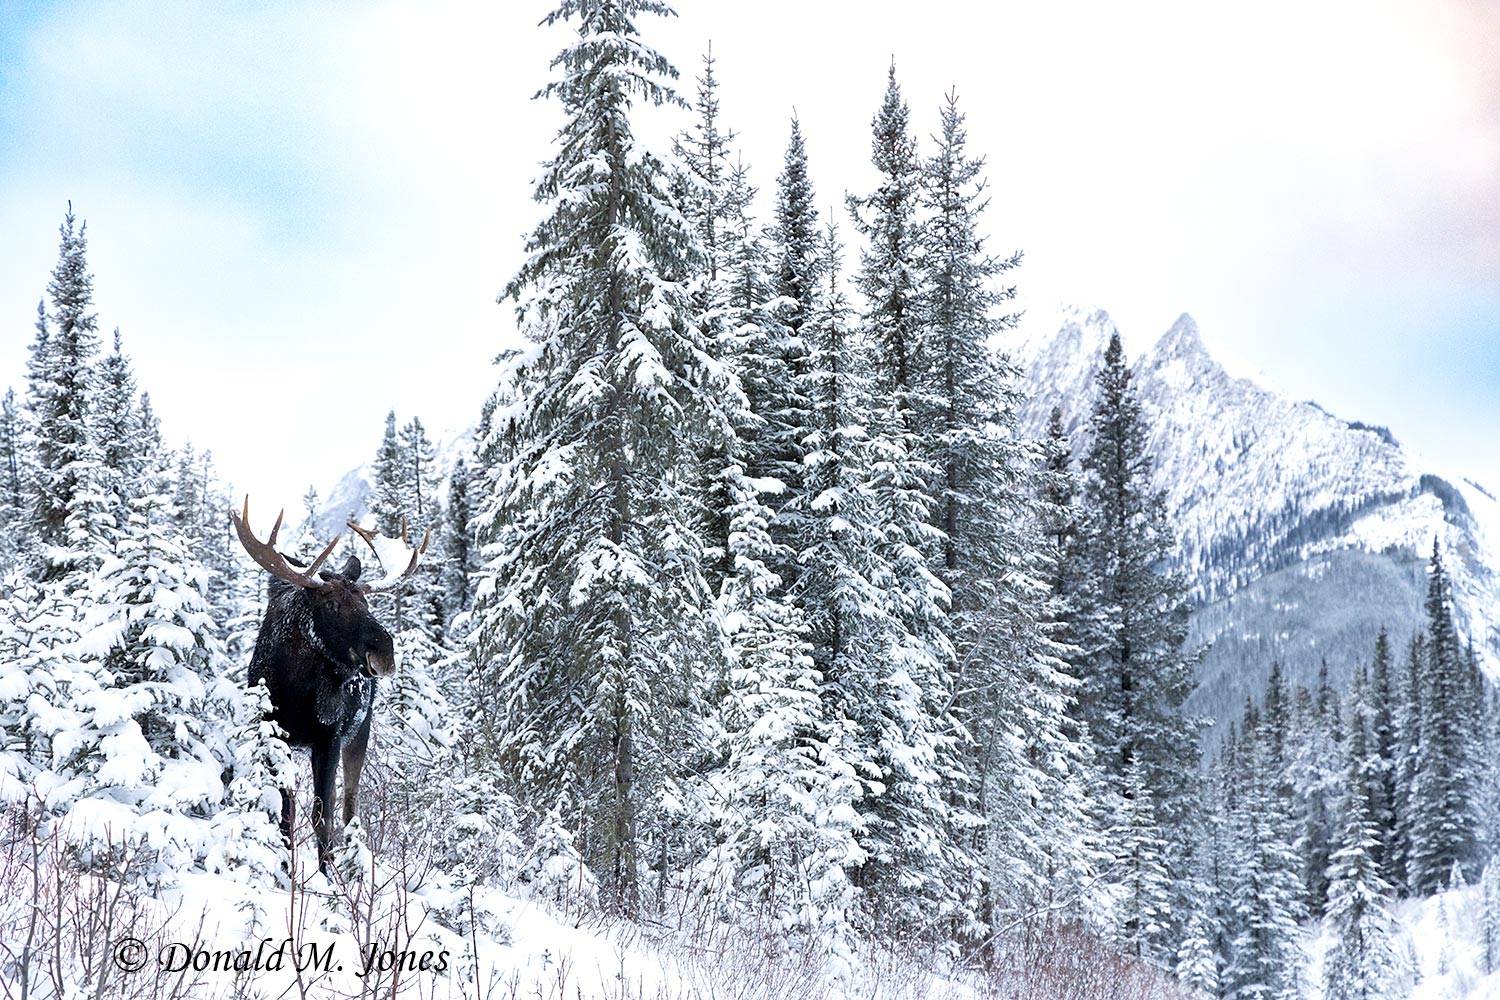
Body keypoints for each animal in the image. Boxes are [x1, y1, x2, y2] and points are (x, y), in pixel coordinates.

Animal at [229, 497, 430, 874]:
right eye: (333, 604)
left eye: (366, 603)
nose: (385, 652)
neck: (295, 690)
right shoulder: (276, 735)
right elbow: (286, 813)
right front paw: (286, 870)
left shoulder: (330, 736)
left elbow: (323, 815)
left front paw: (327, 876)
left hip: (360, 732)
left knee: (349, 803)